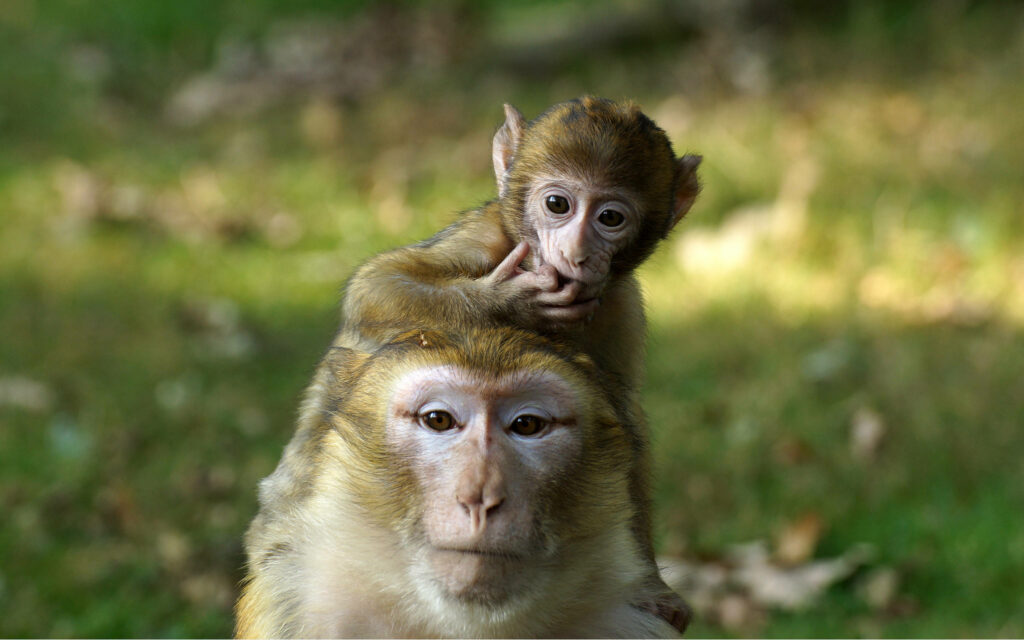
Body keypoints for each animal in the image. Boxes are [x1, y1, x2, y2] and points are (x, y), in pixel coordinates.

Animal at [336, 96, 701, 631]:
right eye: (557, 205)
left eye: (610, 217)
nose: (577, 252)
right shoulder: (487, 236)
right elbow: (377, 286)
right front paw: (513, 304)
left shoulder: (620, 302)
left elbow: (622, 421)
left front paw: (651, 585)